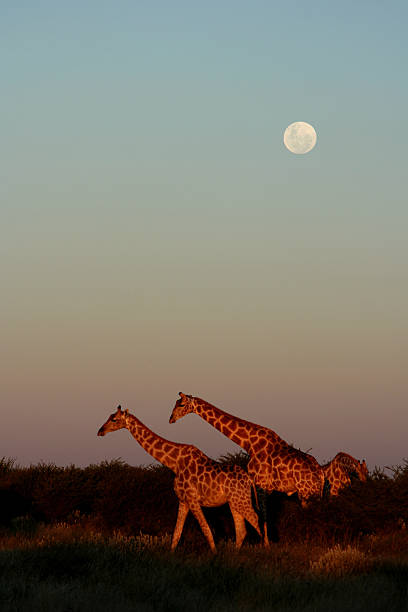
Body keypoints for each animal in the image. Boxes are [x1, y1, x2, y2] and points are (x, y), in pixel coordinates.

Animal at [97, 404, 260, 552]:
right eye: (109, 416)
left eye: (114, 419)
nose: (100, 431)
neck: (174, 463)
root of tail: (249, 479)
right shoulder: (183, 500)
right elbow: (176, 534)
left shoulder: (193, 499)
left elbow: (206, 530)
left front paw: (214, 556)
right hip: (234, 501)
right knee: (241, 529)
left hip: (241, 500)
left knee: (256, 520)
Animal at [169, 394, 326, 536]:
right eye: (175, 403)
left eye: (181, 404)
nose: (171, 419)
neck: (249, 443)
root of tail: (320, 473)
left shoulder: (260, 484)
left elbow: (263, 517)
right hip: (311, 494)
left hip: (307, 492)